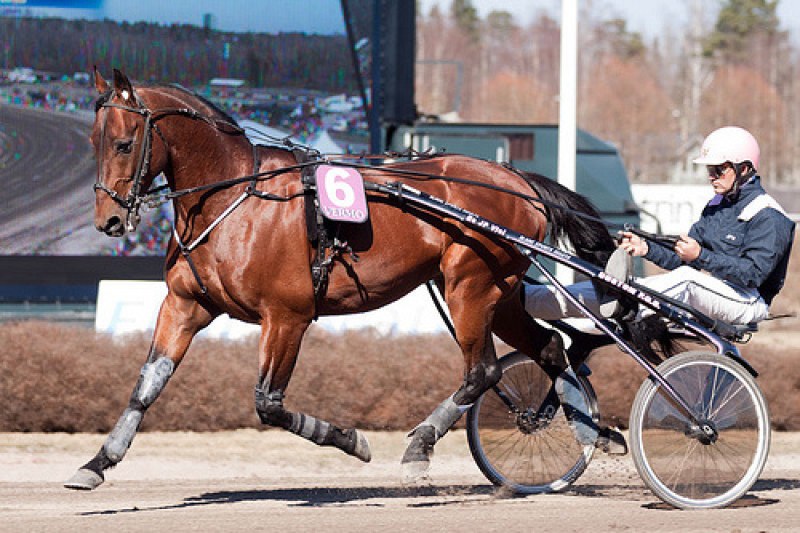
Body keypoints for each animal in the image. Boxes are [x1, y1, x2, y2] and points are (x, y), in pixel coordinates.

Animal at [65, 68, 616, 488]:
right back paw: (577, 430)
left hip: (471, 287)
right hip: (497, 296)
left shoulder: (287, 316)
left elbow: (269, 404)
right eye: (92, 141)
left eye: (124, 143)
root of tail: (517, 179)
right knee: (549, 347)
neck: (233, 199)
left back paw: (420, 445)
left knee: (483, 371)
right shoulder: (185, 304)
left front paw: (353, 440)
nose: (108, 221)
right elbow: (147, 384)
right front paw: (97, 463)